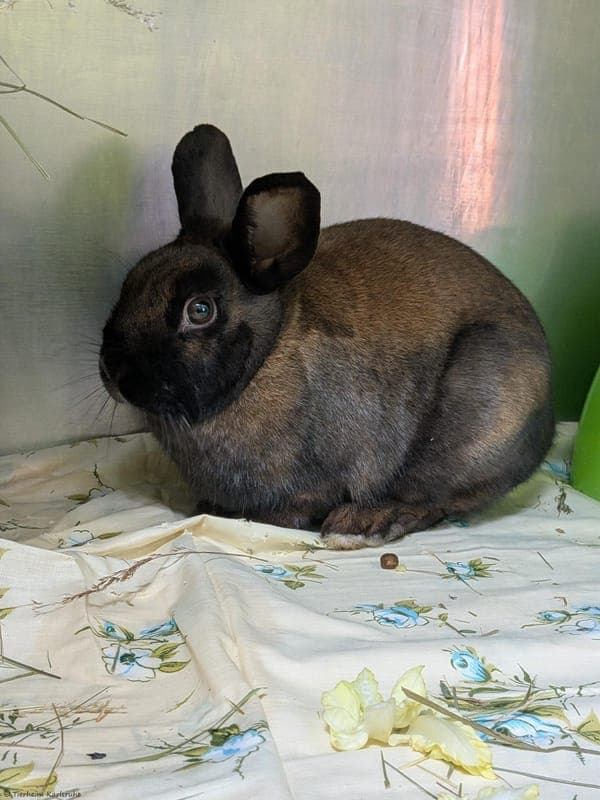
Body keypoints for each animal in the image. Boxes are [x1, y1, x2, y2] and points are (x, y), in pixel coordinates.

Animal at [99, 124, 554, 549]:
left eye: (200, 310)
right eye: (130, 282)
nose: (114, 374)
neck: (266, 357)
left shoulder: (325, 475)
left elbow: (301, 504)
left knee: (433, 499)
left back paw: (361, 525)